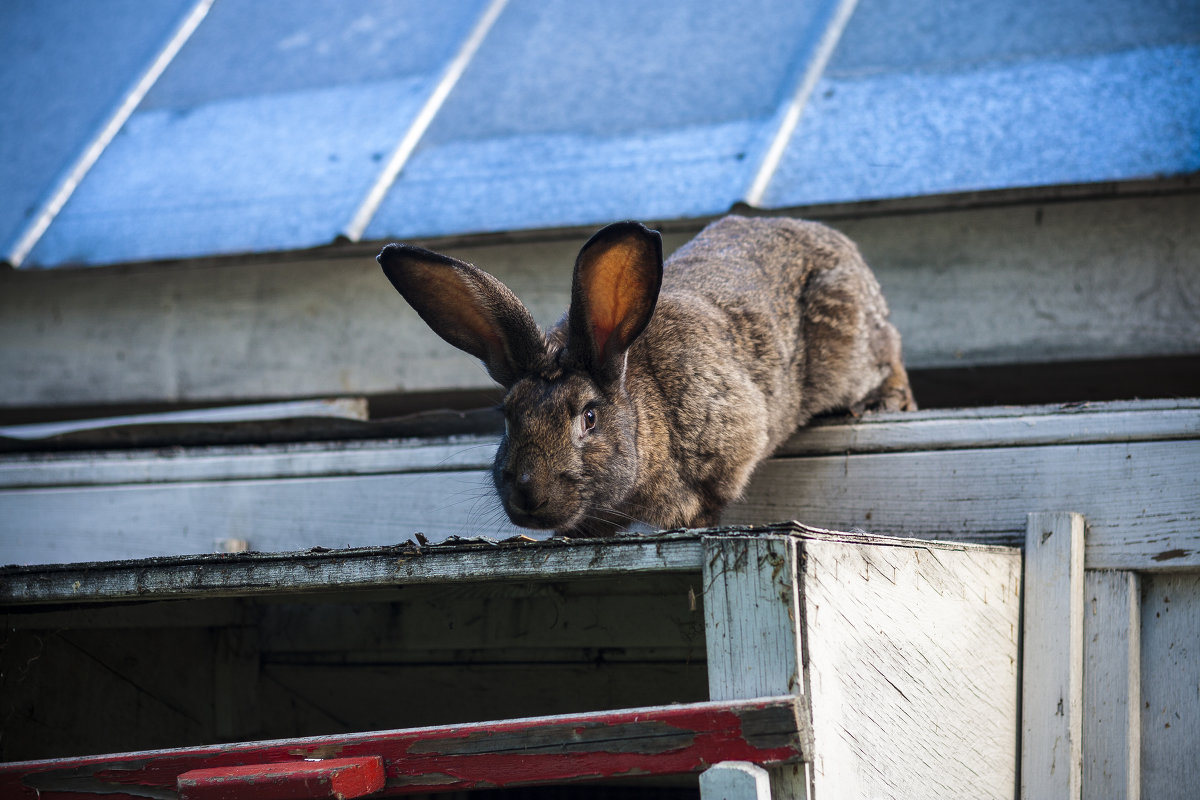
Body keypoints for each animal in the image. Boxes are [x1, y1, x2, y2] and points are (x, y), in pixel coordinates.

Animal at [379, 215, 912, 537]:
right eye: (508, 419)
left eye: (589, 418)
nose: (528, 491)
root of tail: (840, 245)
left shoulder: (730, 439)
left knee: (889, 353)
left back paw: (886, 401)